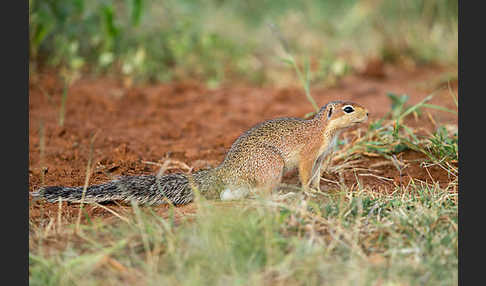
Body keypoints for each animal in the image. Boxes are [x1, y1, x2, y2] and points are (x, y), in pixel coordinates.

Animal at [33, 100, 368, 206]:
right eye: (348, 109)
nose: (368, 113)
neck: (327, 132)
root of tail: (224, 172)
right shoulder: (310, 154)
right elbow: (304, 174)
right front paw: (309, 194)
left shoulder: (323, 158)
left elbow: (316, 177)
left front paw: (321, 191)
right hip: (269, 164)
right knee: (257, 194)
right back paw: (280, 196)